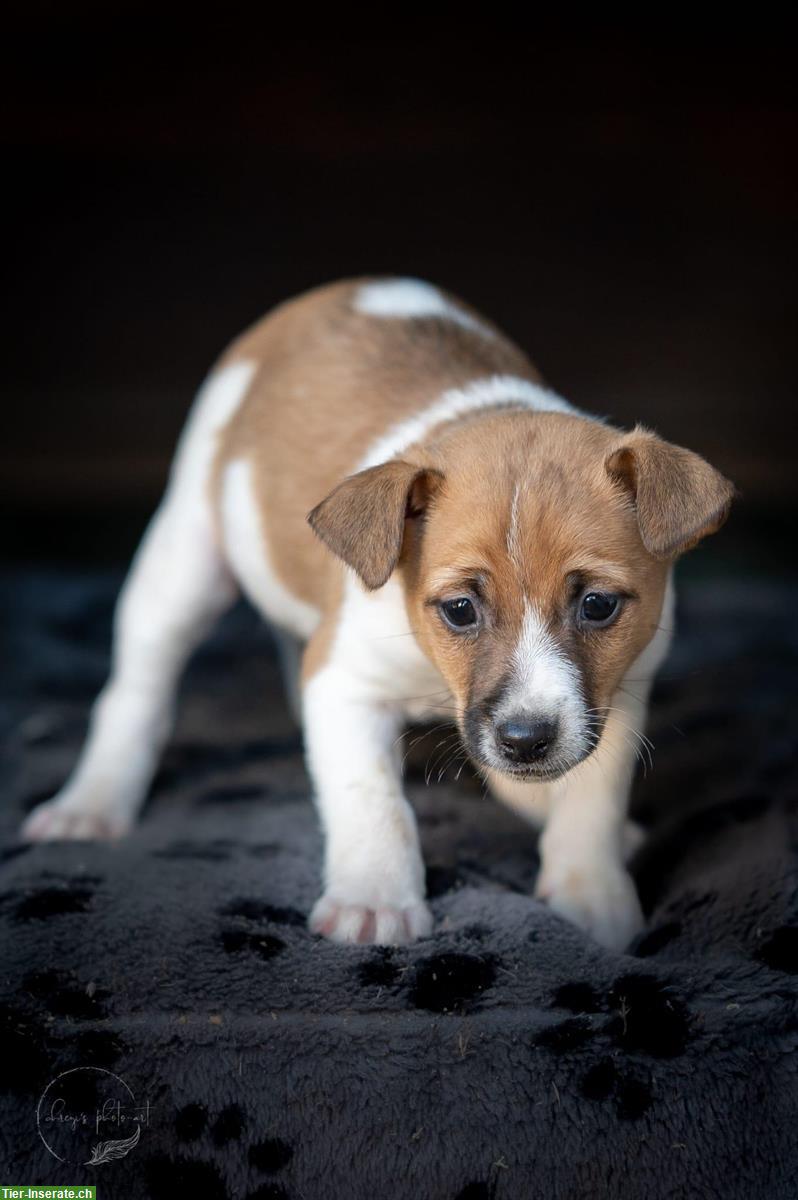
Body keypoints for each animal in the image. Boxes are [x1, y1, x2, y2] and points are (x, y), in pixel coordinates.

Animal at [23, 276, 734, 950]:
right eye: (459, 610)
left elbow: (592, 800)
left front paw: (590, 895)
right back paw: (92, 802)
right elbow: (372, 801)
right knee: (137, 692)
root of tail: (345, 290)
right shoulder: (345, 688)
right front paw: (375, 900)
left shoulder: (618, 694)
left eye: (597, 605)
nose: (526, 741)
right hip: (183, 563)